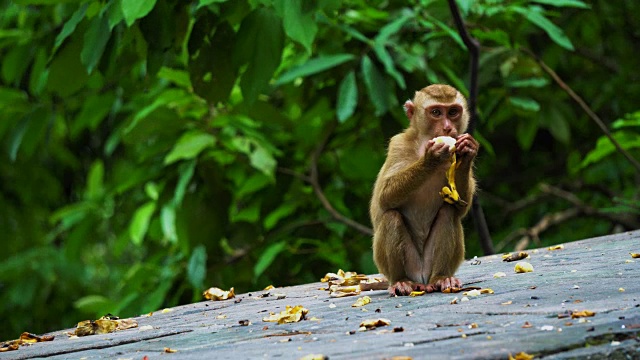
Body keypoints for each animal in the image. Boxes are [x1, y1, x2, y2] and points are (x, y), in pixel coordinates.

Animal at [368, 83, 478, 296]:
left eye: (453, 112)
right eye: (436, 112)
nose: (447, 127)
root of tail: (421, 277)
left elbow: (460, 206)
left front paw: (468, 151)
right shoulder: (398, 144)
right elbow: (384, 197)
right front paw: (430, 159)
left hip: (430, 265)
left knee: (448, 212)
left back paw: (442, 278)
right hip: (401, 265)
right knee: (391, 217)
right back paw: (401, 281)